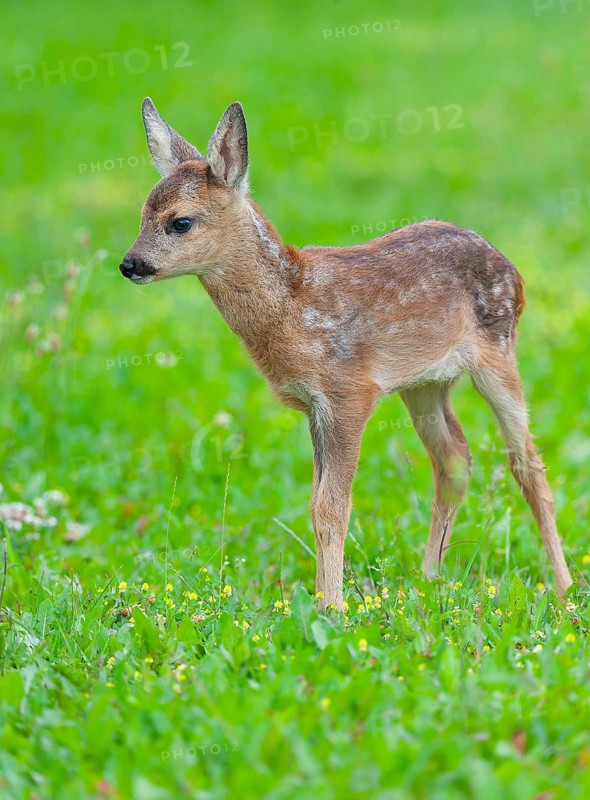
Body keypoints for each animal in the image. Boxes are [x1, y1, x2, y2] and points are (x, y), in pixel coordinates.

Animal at [119, 98, 573, 609]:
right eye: (142, 213)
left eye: (181, 221)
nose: (129, 264)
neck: (291, 308)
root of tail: (515, 271)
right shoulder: (316, 406)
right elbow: (316, 503)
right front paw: (320, 601)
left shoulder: (348, 392)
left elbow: (332, 506)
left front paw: (333, 607)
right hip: (425, 383)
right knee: (454, 459)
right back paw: (428, 578)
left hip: (498, 352)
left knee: (528, 464)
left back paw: (564, 587)